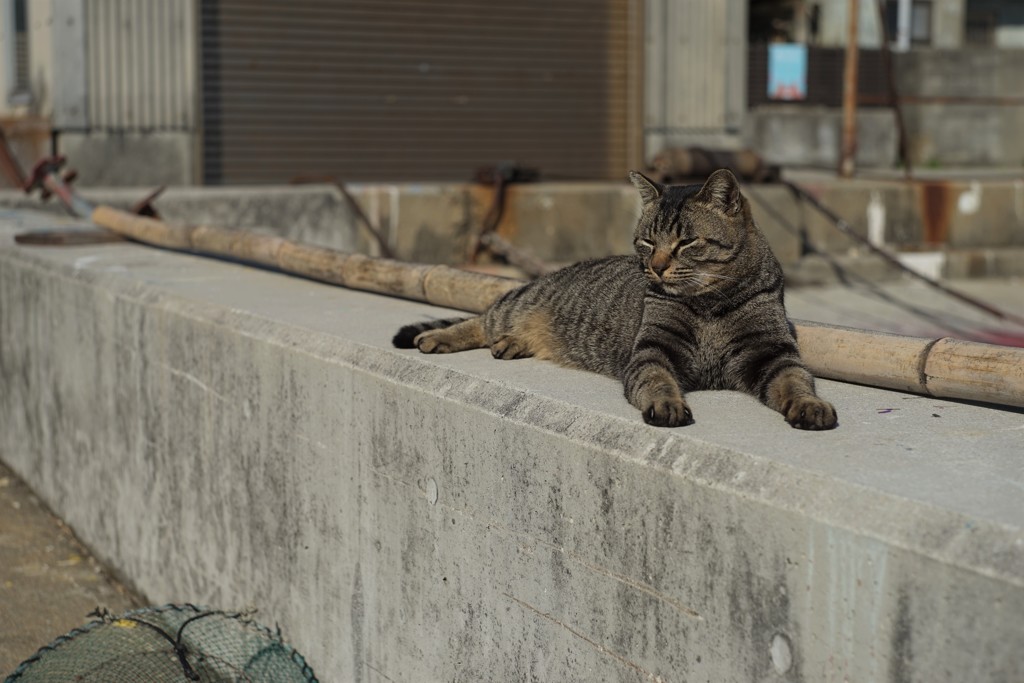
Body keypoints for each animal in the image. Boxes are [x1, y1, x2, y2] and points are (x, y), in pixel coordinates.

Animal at [395, 169, 835, 428]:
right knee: (481, 319)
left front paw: (809, 405)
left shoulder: (771, 352)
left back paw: (512, 344)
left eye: (686, 243)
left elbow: (795, 381)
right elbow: (656, 380)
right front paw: (667, 404)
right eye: (647, 242)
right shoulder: (652, 351)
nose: (655, 267)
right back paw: (438, 337)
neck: (709, 304)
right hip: (515, 303)